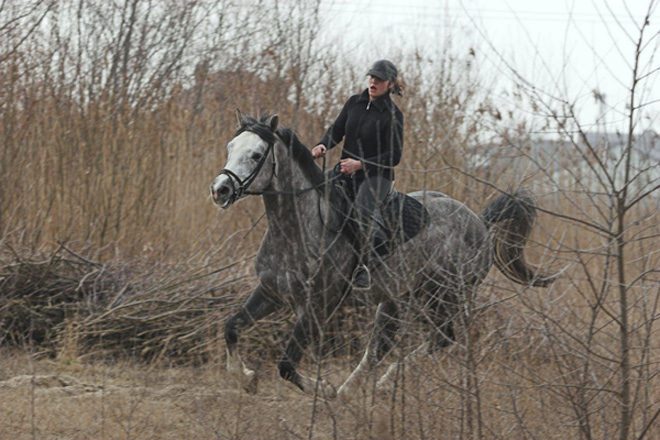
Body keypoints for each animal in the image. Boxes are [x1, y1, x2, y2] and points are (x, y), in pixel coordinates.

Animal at [209, 111, 556, 398]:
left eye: (256, 154)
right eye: (230, 147)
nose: (220, 190)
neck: (295, 229)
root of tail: (479, 222)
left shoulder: (315, 307)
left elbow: (286, 365)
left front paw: (323, 389)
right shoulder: (270, 292)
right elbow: (231, 327)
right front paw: (247, 379)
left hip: (442, 295)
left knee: (442, 338)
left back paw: (381, 383)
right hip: (395, 299)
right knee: (381, 346)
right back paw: (352, 391)